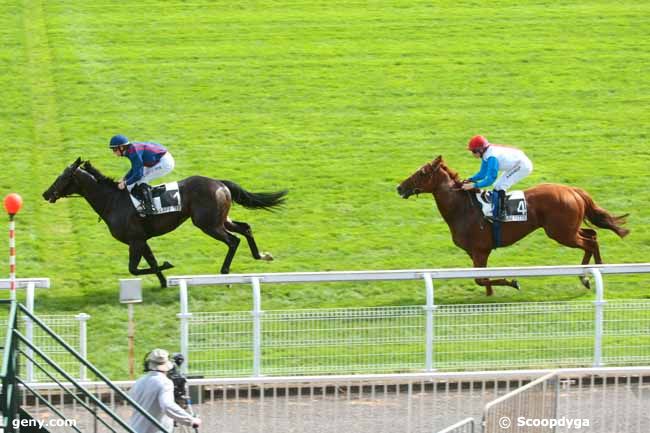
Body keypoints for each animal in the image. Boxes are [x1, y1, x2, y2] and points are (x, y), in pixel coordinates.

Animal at [44, 158, 288, 286]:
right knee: (245, 228)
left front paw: (167, 266)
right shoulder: (141, 240)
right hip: (220, 219)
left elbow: (134, 269)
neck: (112, 201)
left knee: (233, 240)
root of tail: (219, 183)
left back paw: (225, 272)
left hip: (207, 224)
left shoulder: (135, 240)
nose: (45, 194)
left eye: (62, 177)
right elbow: (149, 263)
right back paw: (261, 255)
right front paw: (163, 282)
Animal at [394, 154, 628, 294]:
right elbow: (482, 278)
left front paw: (512, 282)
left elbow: (481, 279)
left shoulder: (480, 250)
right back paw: (589, 273)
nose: (400, 187)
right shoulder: (474, 252)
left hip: (561, 233)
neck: (462, 209)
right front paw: (490, 293)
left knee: (589, 242)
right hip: (569, 229)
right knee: (592, 235)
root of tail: (572, 190)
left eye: (422, 173)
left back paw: (592, 273)